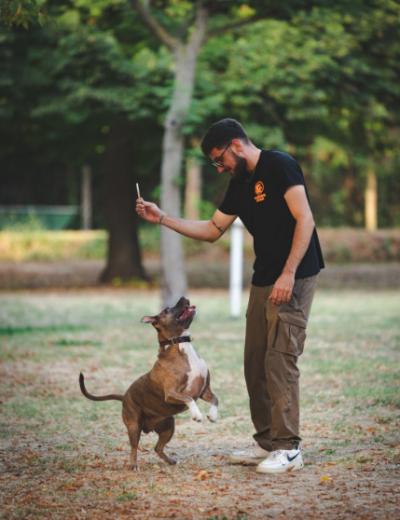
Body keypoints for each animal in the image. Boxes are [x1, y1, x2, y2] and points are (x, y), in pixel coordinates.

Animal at [78, 296, 219, 472]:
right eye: (167, 310)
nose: (184, 298)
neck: (179, 344)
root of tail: (124, 396)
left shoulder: (203, 391)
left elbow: (215, 399)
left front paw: (212, 416)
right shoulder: (171, 393)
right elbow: (189, 398)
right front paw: (197, 415)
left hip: (168, 426)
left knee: (157, 448)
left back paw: (170, 461)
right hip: (134, 426)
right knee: (133, 447)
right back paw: (133, 465)